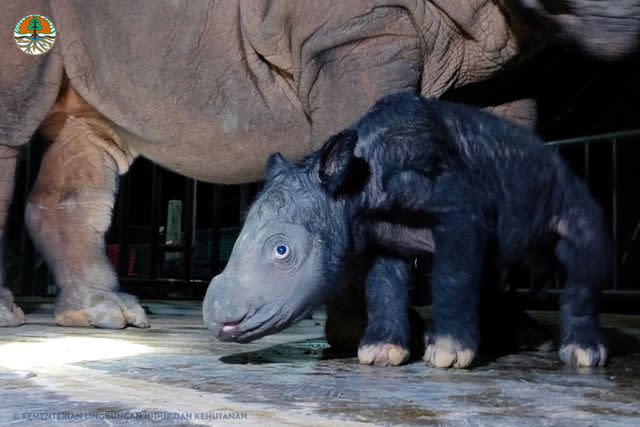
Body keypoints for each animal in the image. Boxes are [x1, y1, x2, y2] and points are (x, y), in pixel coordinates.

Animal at [1, 0, 640, 328]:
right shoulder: (353, 30)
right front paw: (361, 334)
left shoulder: (509, 61)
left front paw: (498, 329)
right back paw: (17, 318)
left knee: (90, 132)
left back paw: (105, 316)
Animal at [202, 93, 608, 368]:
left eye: (281, 251)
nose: (216, 317)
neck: (356, 181)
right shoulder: (380, 234)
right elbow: (384, 284)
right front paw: (381, 352)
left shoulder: (459, 208)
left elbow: (453, 274)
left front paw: (447, 354)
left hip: (567, 182)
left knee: (582, 245)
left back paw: (582, 354)